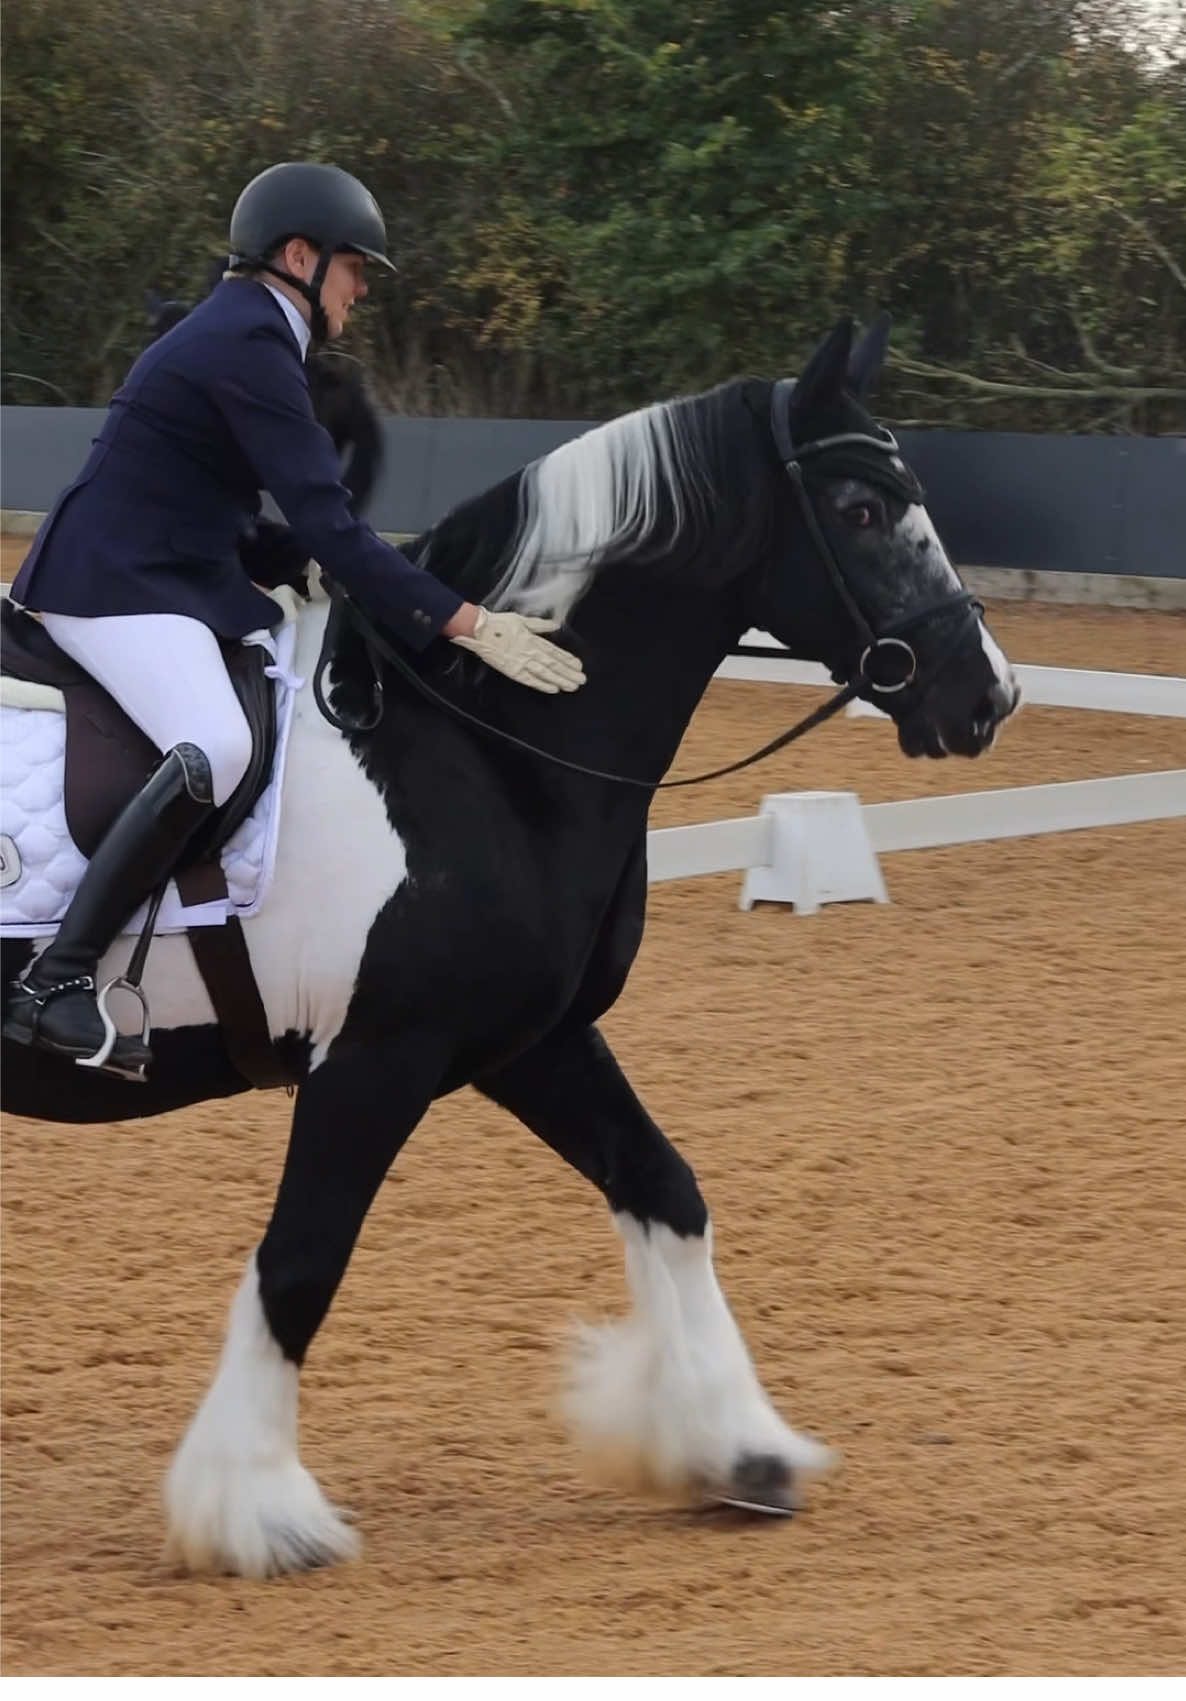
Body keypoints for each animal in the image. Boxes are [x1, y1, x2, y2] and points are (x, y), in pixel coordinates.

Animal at [0, 315, 1019, 1578]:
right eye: (862, 508)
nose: (986, 698)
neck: (480, 747)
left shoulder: (534, 1041)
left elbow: (665, 1188)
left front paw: (734, 1446)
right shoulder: (375, 1058)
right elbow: (300, 1262)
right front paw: (258, 1510)